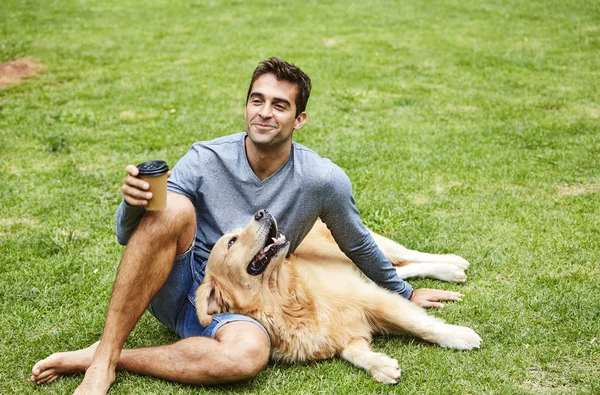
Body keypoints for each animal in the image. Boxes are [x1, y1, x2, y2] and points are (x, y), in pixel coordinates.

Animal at [197, 212, 482, 386]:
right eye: (232, 242)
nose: (262, 212)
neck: (282, 299)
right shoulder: (343, 333)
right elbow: (354, 353)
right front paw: (381, 366)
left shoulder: (373, 299)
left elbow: (421, 325)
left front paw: (458, 336)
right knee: (400, 271)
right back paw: (451, 270)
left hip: (365, 245)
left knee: (408, 256)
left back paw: (452, 263)